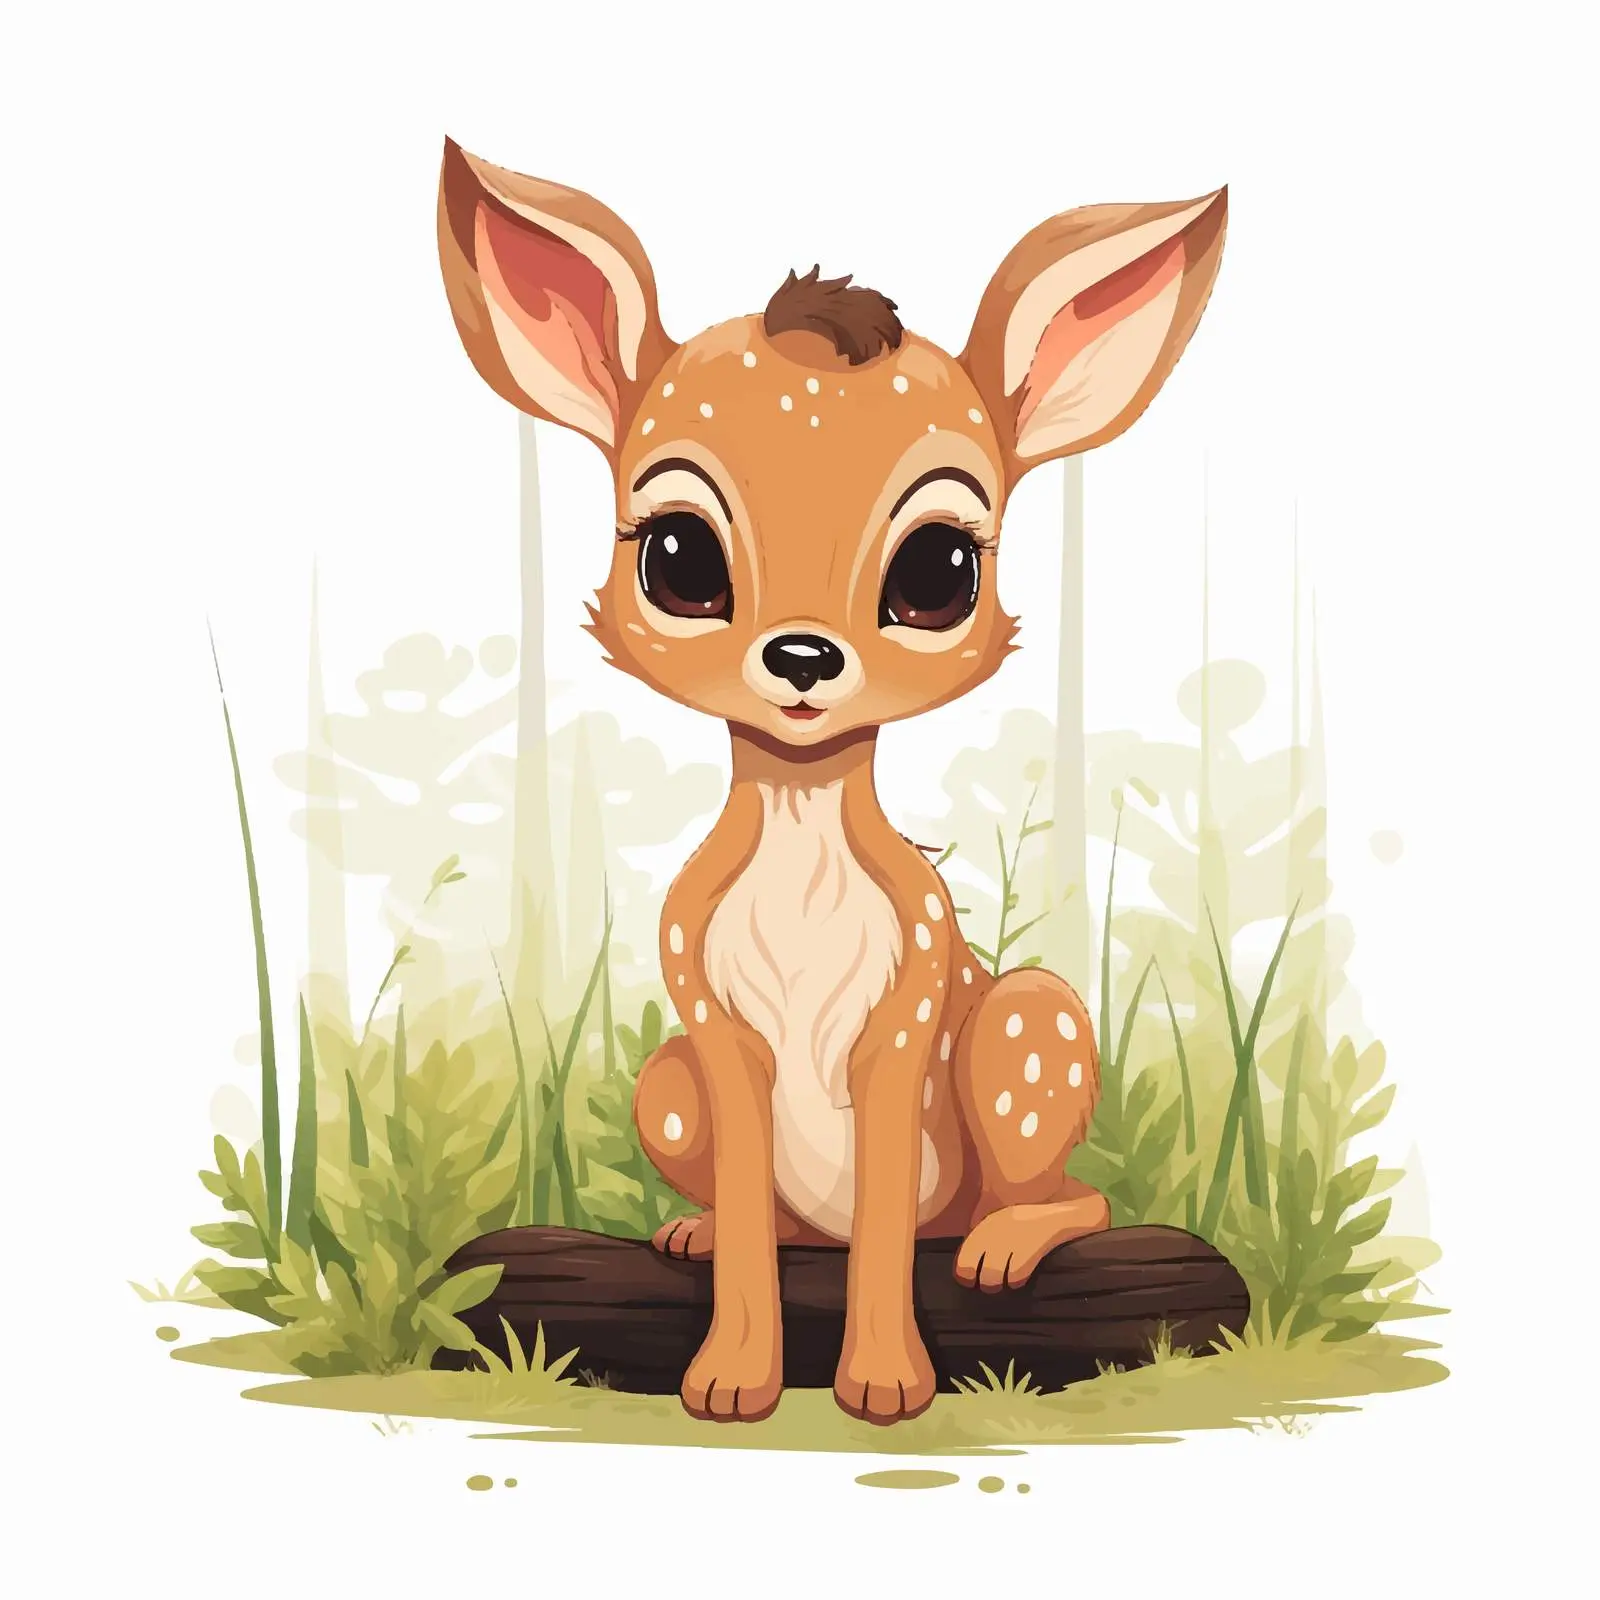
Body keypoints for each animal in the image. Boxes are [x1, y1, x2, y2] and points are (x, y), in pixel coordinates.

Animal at [437, 138, 1226, 1425]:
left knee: (1065, 1190)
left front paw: (886, 1385)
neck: (802, 838)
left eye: (939, 568)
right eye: (678, 556)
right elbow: (762, 1209)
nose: (802, 658)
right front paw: (730, 1379)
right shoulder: (705, 1025)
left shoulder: (909, 1013)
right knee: (777, 1216)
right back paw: (701, 1229)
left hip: (1027, 1021)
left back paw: (1006, 1239)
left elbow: (883, 1227)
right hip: (663, 1078)